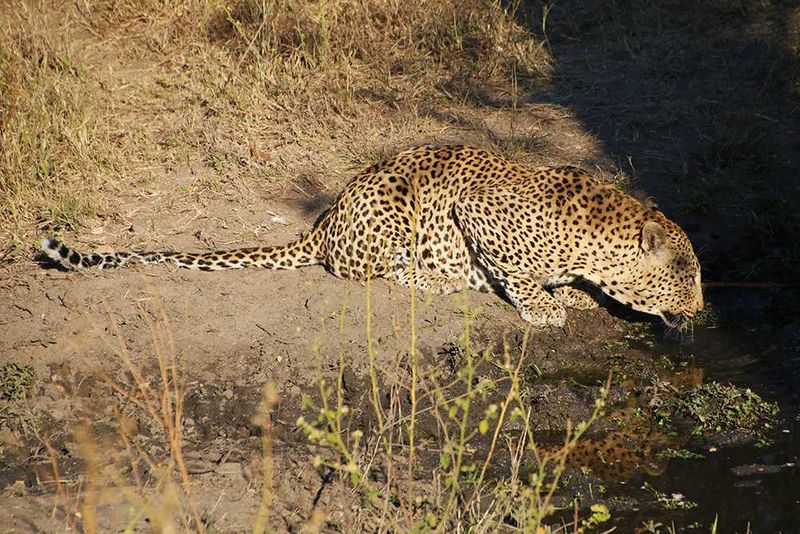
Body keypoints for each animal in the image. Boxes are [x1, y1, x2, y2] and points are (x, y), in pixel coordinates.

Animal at [41, 144, 704, 328]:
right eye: (691, 278)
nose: (702, 310)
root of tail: (326, 219)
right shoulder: (475, 208)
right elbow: (516, 270)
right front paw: (545, 305)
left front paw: (568, 294)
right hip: (394, 208)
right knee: (373, 269)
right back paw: (439, 280)